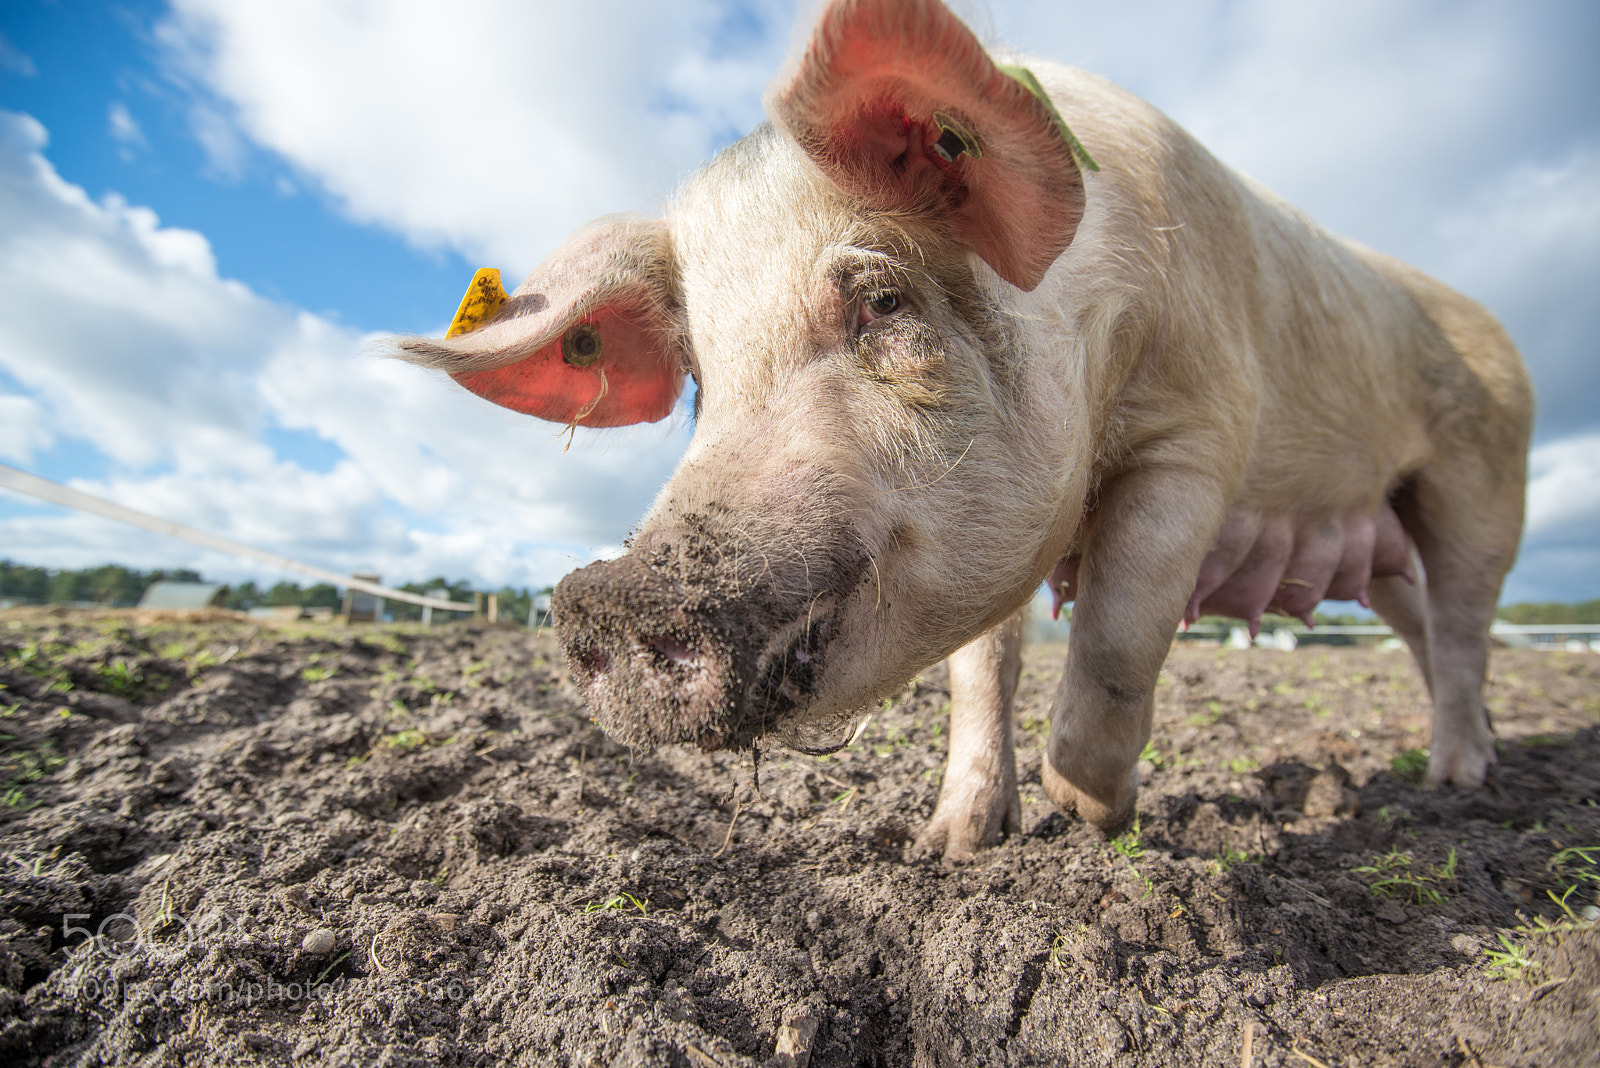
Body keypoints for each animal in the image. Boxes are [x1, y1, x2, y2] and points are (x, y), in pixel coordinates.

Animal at [391, 0, 1532, 862]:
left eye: (883, 302)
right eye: (701, 381)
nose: (606, 598)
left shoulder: (1198, 430)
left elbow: (1118, 633)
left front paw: (1096, 815)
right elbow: (981, 672)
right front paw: (948, 847)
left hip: (1485, 480)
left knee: (1465, 620)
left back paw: (1461, 783)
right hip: (1379, 534)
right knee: (1422, 621)